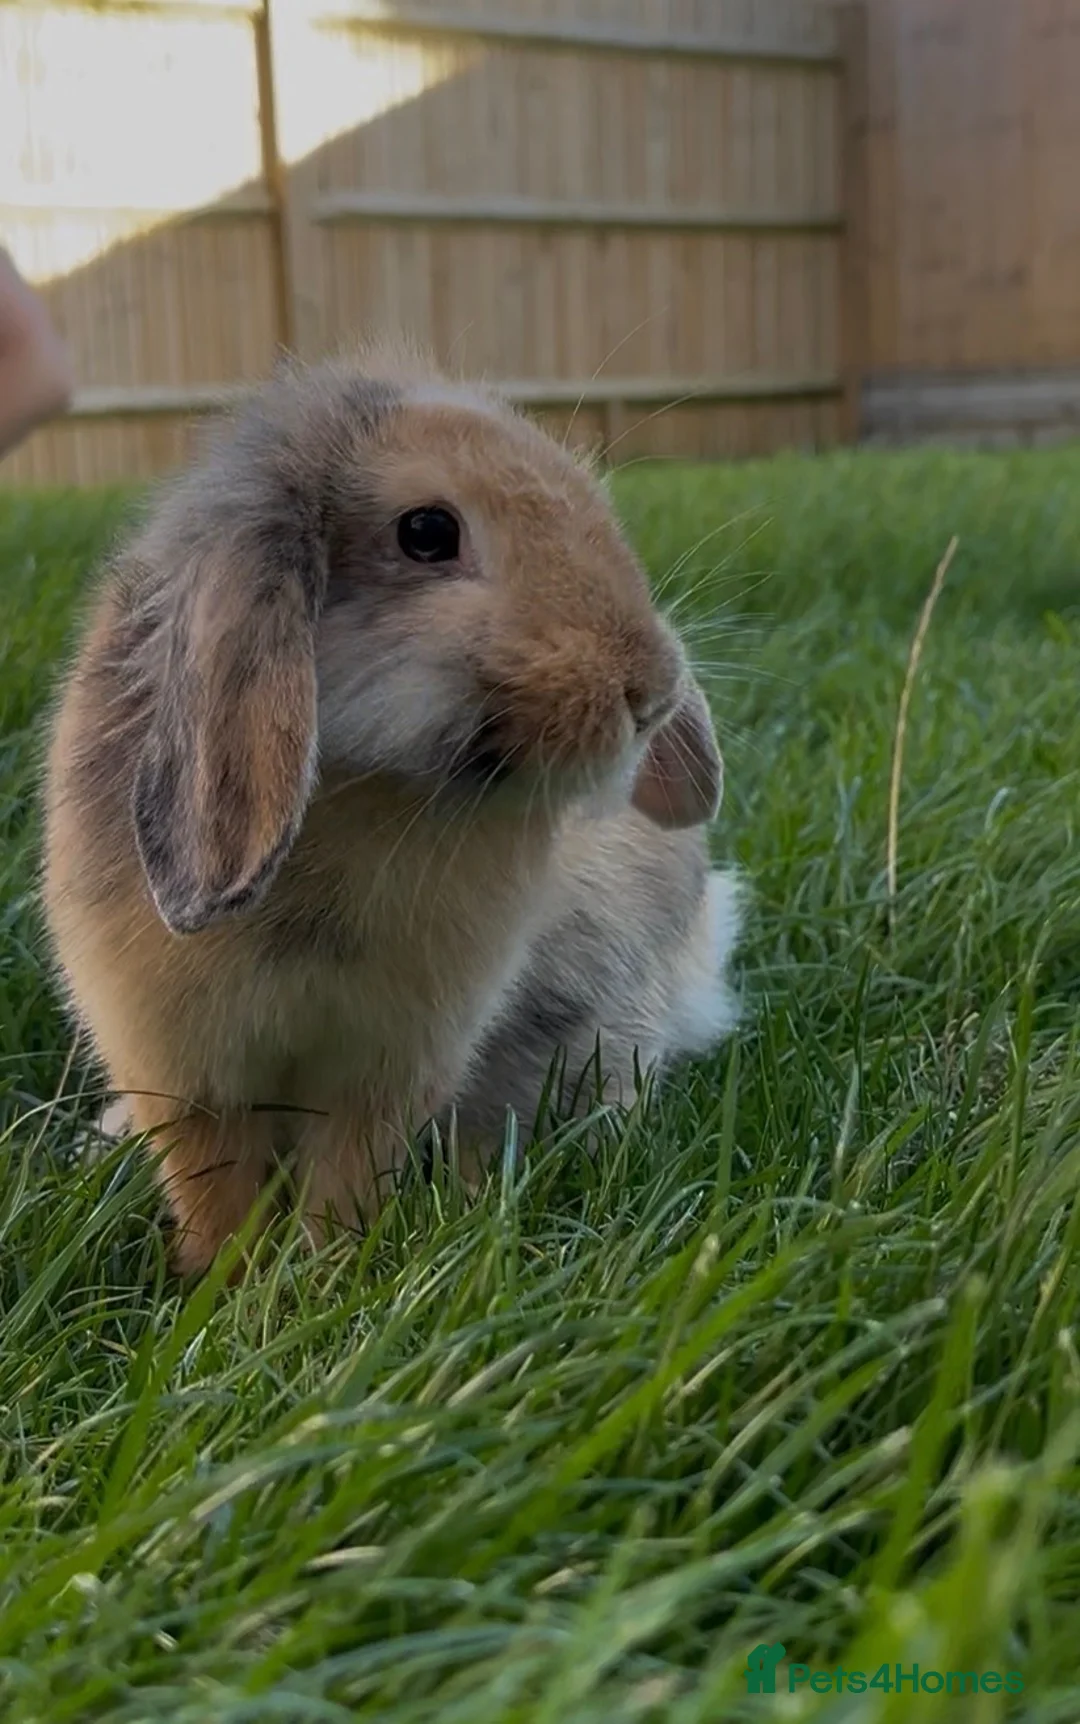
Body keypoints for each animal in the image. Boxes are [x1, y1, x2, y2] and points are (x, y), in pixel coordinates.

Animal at [43, 345, 742, 1277]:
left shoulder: (390, 1066)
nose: (651, 691)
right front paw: (221, 1281)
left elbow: (347, 1172)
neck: (366, 791)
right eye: (427, 533)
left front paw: (320, 1272)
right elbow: (211, 1185)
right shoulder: (183, 1066)